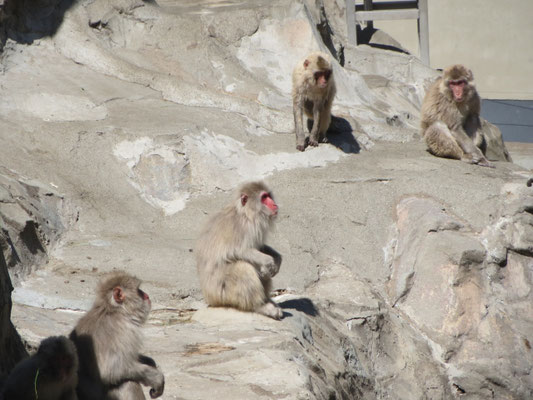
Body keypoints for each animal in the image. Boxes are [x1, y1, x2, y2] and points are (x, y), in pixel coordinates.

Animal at [194, 180, 282, 318]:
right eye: (264, 197)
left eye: (269, 195)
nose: (274, 204)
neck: (246, 213)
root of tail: (208, 298)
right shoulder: (243, 227)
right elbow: (238, 251)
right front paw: (268, 261)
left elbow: (258, 246)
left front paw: (277, 259)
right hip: (220, 293)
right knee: (243, 268)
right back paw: (260, 306)